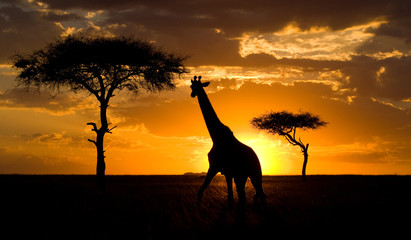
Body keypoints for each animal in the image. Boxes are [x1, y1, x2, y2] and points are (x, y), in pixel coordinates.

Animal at [191, 76, 268, 207]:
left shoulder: (217, 167)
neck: (216, 137)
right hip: (241, 176)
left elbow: (205, 191)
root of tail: (256, 155)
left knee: (260, 194)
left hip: (255, 173)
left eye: (198, 86)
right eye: (191, 86)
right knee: (245, 196)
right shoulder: (226, 171)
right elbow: (229, 197)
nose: (192, 94)